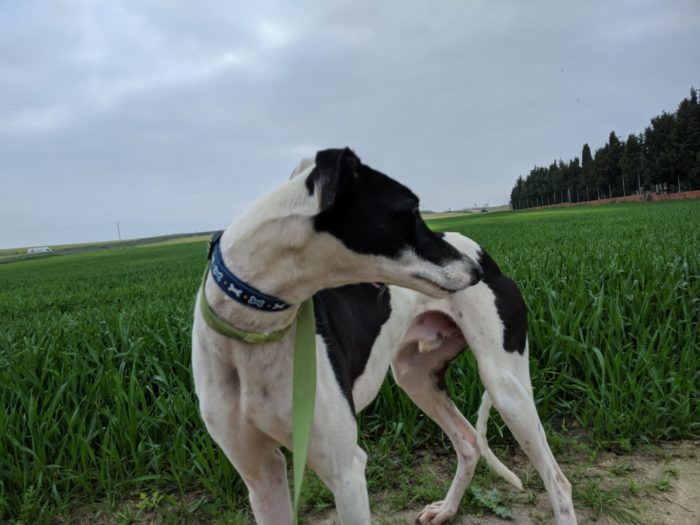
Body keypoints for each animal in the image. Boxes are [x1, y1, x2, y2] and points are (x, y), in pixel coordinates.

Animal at [192, 148, 484, 525]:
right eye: (413, 209)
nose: (477, 270)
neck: (255, 332)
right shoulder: (260, 474)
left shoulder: (346, 471)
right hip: (415, 377)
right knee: (468, 442)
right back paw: (446, 509)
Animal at [314, 232, 577, 524]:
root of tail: (483, 256)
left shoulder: (346, 471)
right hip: (415, 377)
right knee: (470, 444)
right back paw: (447, 509)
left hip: (505, 387)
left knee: (558, 483)